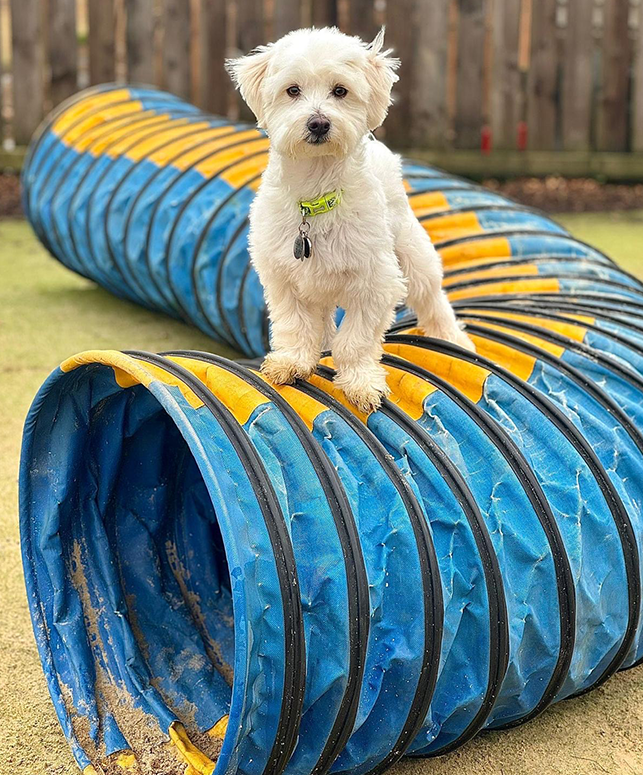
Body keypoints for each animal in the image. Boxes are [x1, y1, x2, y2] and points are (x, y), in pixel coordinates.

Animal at [226, 25, 472, 412]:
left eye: (340, 91)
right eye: (292, 90)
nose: (318, 122)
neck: (315, 198)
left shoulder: (376, 282)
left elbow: (355, 340)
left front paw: (361, 384)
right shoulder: (282, 278)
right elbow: (295, 325)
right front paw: (292, 363)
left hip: (413, 254)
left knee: (432, 296)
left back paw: (452, 339)